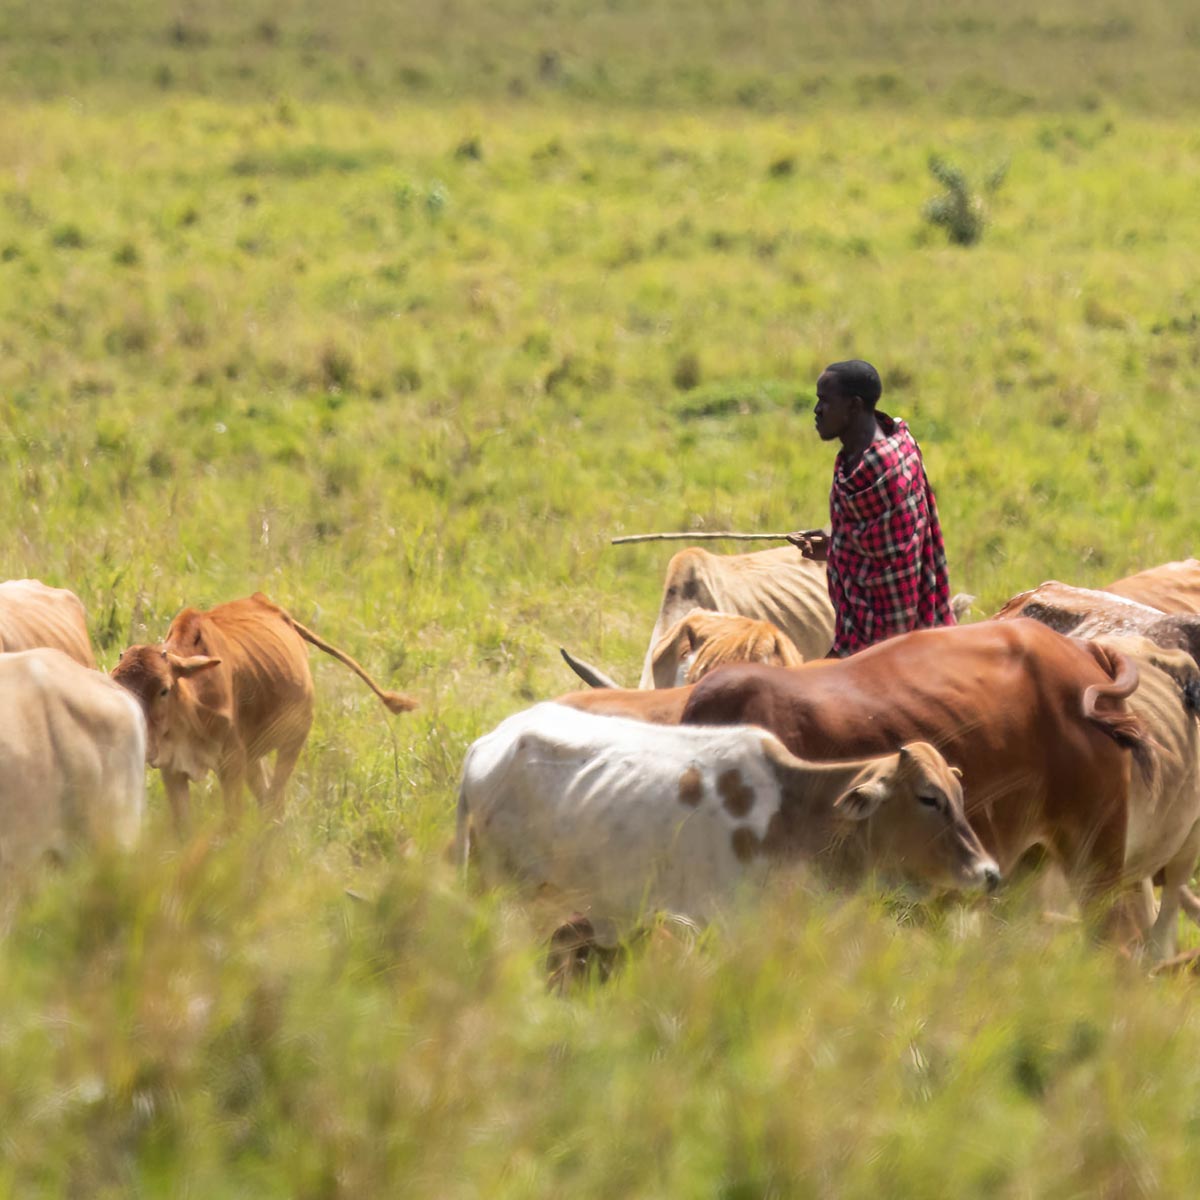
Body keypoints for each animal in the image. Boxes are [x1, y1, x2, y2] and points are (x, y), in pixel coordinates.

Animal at [112, 595, 420, 830]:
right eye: (117, 687)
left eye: (164, 690)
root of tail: (270, 605)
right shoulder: (174, 769)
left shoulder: (231, 763)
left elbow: (232, 822)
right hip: (254, 757)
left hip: (292, 741)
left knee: (273, 802)